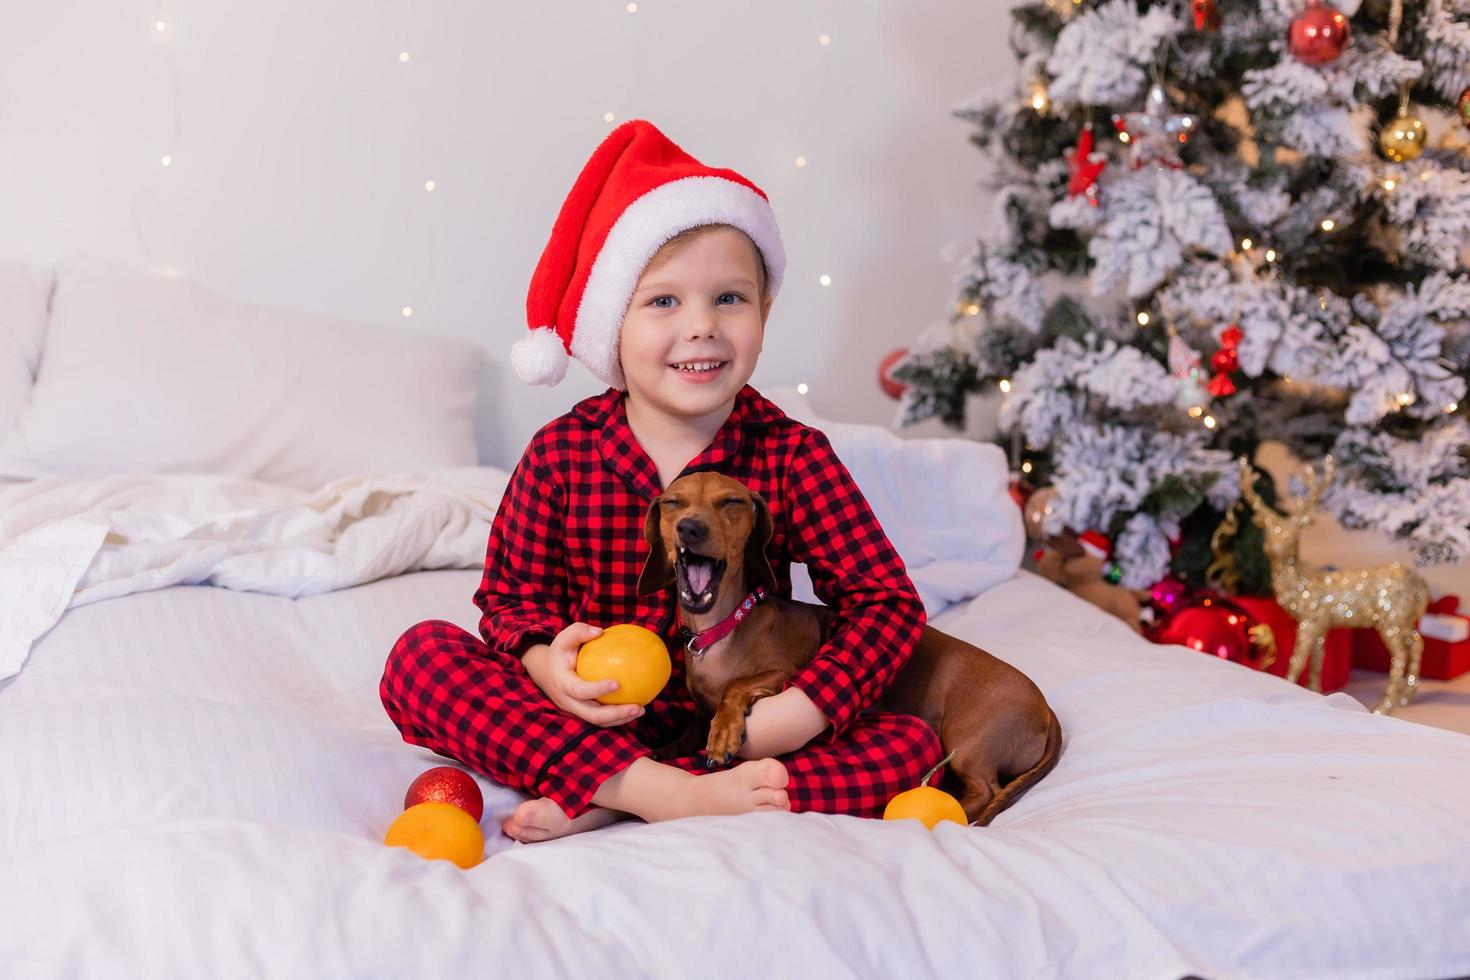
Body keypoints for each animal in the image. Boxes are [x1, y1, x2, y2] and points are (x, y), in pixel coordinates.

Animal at [637, 470, 1064, 822]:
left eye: (731, 502)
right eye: (673, 503)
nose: (690, 529)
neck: (723, 628)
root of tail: (1045, 709)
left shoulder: (785, 675)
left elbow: (736, 686)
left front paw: (723, 732)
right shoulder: (698, 708)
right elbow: (691, 728)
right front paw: (668, 749)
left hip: (967, 741)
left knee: (984, 790)